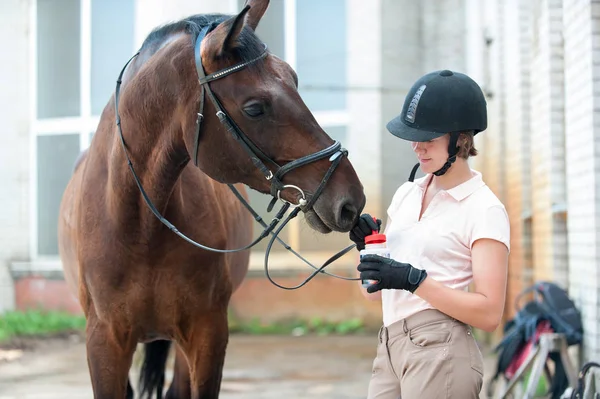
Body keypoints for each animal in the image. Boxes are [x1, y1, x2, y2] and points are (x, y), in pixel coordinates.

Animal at [57, 1, 366, 398]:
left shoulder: (207, 333)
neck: (139, 227)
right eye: (254, 108)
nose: (349, 199)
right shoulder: (104, 342)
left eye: (295, 80)